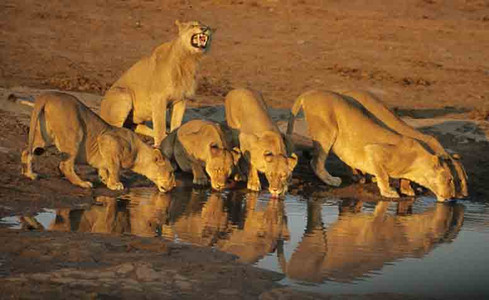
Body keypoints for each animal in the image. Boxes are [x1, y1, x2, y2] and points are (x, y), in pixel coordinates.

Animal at [18, 91, 176, 193]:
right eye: (170, 173)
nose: (174, 186)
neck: (138, 153)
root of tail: (48, 95)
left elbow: (105, 168)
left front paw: (105, 179)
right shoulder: (107, 140)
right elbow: (115, 167)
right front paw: (114, 184)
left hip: (43, 137)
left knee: (26, 151)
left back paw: (29, 174)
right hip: (74, 133)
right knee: (65, 165)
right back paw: (83, 184)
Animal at [286, 89, 454, 202]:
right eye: (449, 180)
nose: (452, 197)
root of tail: (310, 92)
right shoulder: (374, 150)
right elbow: (383, 175)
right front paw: (389, 192)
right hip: (326, 131)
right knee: (316, 161)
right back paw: (332, 180)